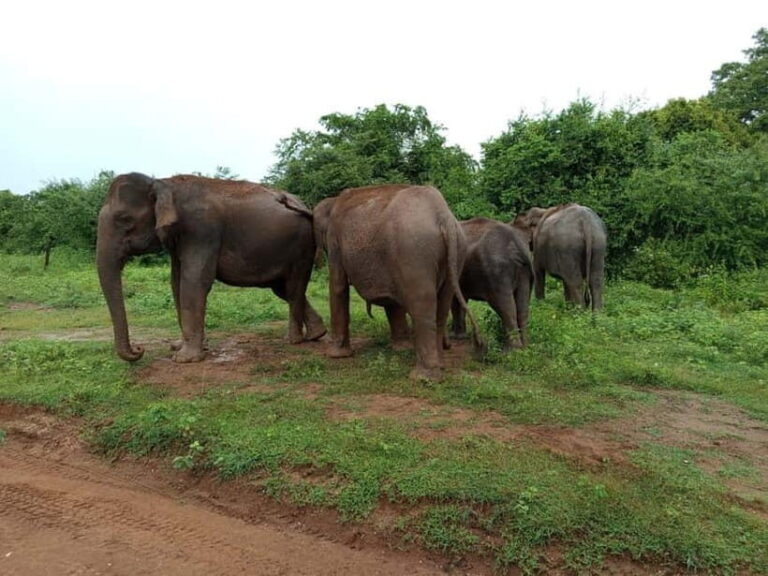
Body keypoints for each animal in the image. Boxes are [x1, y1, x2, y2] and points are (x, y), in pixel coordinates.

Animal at [96, 172, 326, 363]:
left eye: (124, 219)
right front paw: (179, 347)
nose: (138, 349)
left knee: (294, 287)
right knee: (283, 289)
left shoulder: (201, 229)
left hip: (301, 246)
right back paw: (316, 334)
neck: (163, 182)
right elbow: (176, 282)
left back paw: (293, 340)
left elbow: (193, 281)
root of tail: (304, 205)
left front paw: (184, 359)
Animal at [313, 185, 482, 381]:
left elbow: (338, 286)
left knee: (422, 306)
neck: (333, 201)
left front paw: (335, 355)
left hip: (414, 252)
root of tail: (442, 215)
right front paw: (400, 348)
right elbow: (394, 303)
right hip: (455, 253)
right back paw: (439, 366)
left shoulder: (335, 239)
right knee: (441, 306)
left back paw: (423, 377)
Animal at [451, 218, 533, 349]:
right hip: (525, 273)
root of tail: (517, 245)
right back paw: (525, 347)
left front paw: (456, 336)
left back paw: (512, 350)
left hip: (497, 274)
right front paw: (459, 336)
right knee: (522, 309)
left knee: (506, 307)